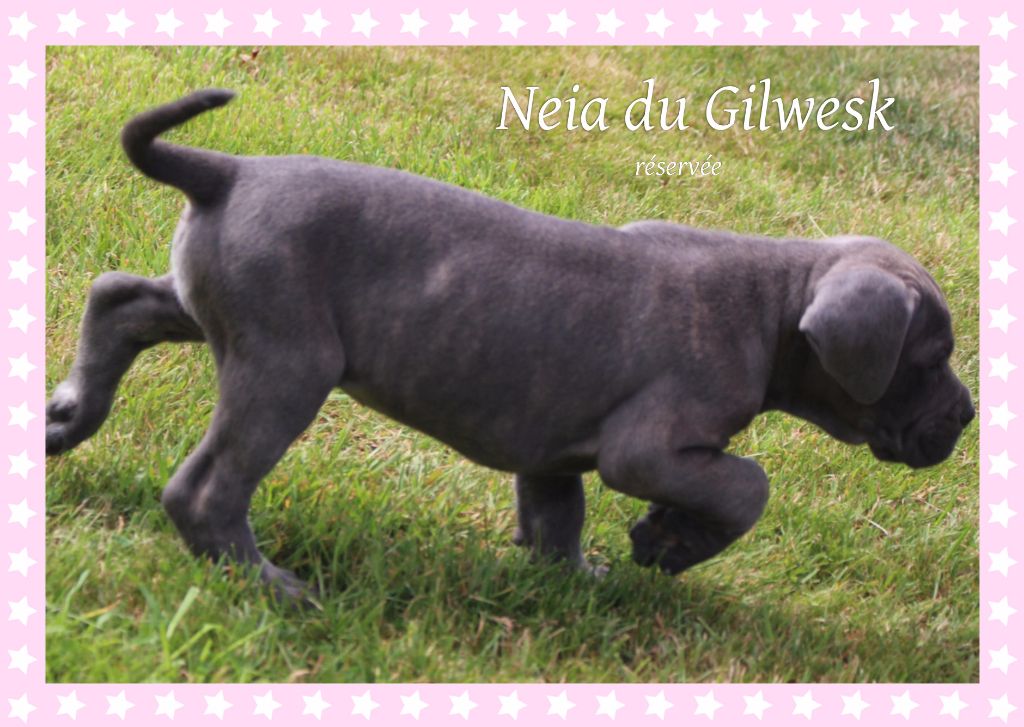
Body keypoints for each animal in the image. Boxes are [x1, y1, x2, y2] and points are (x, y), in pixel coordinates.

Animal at [46, 90, 975, 598]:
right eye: (929, 361)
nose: (967, 417)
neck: (770, 303)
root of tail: (229, 170)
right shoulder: (645, 446)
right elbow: (749, 484)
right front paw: (670, 543)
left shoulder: (555, 444)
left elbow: (557, 515)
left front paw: (573, 581)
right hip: (285, 365)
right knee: (203, 488)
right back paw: (269, 584)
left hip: (213, 305)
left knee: (118, 297)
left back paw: (67, 414)